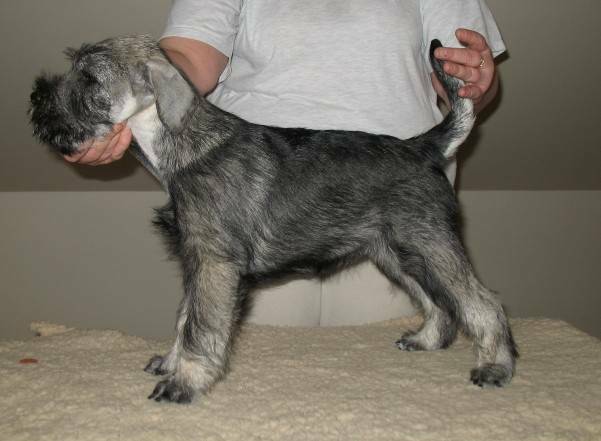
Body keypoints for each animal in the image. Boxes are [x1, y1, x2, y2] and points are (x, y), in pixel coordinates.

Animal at [29, 36, 516, 404]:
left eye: (90, 79)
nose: (36, 97)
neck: (184, 146)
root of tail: (423, 146)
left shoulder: (214, 262)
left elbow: (201, 326)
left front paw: (183, 382)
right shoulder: (196, 261)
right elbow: (185, 318)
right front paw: (170, 364)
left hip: (431, 243)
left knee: (482, 302)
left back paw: (495, 366)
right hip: (399, 253)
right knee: (439, 303)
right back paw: (427, 340)